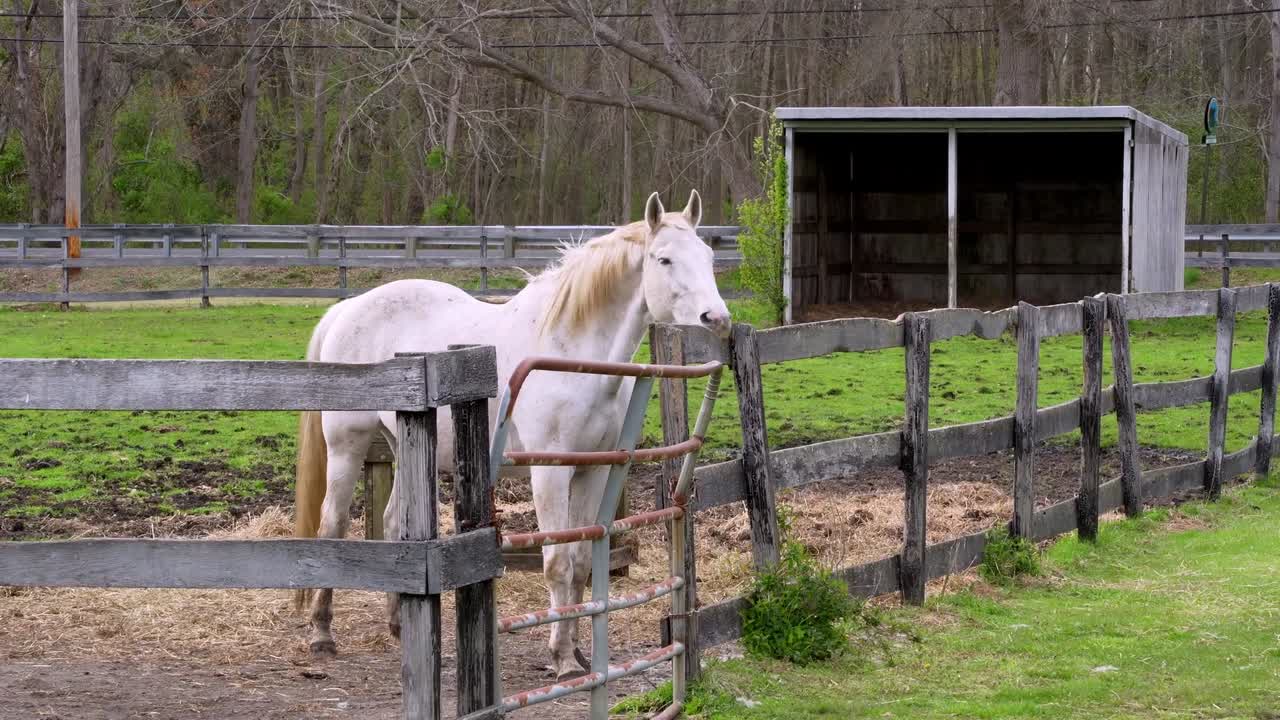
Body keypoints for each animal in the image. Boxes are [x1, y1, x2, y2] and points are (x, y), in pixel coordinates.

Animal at [292, 190, 731, 679]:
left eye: (708, 255)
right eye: (664, 259)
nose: (717, 318)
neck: (570, 354)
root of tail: (347, 308)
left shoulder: (593, 470)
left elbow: (581, 562)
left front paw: (576, 651)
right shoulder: (549, 473)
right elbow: (557, 563)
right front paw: (562, 660)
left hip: (403, 446)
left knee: (391, 524)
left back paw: (399, 626)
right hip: (346, 446)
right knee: (332, 524)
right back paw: (322, 634)